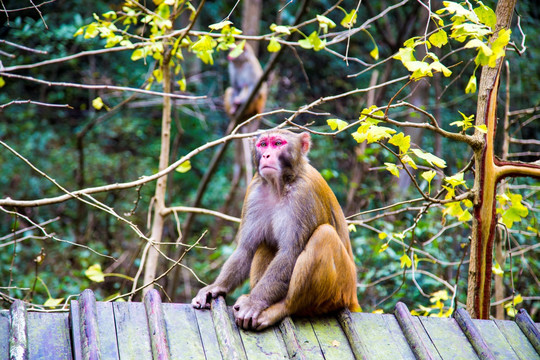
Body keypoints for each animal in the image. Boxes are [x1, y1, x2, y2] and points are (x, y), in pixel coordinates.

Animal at [192, 130, 360, 332]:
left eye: (278, 143)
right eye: (263, 144)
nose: (266, 155)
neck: (280, 185)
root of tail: (353, 295)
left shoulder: (303, 194)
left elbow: (290, 252)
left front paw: (254, 303)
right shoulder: (254, 190)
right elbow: (246, 249)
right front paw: (216, 287)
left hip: (342, 288)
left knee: (324, 235)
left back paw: (282, 308)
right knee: (266, 243)